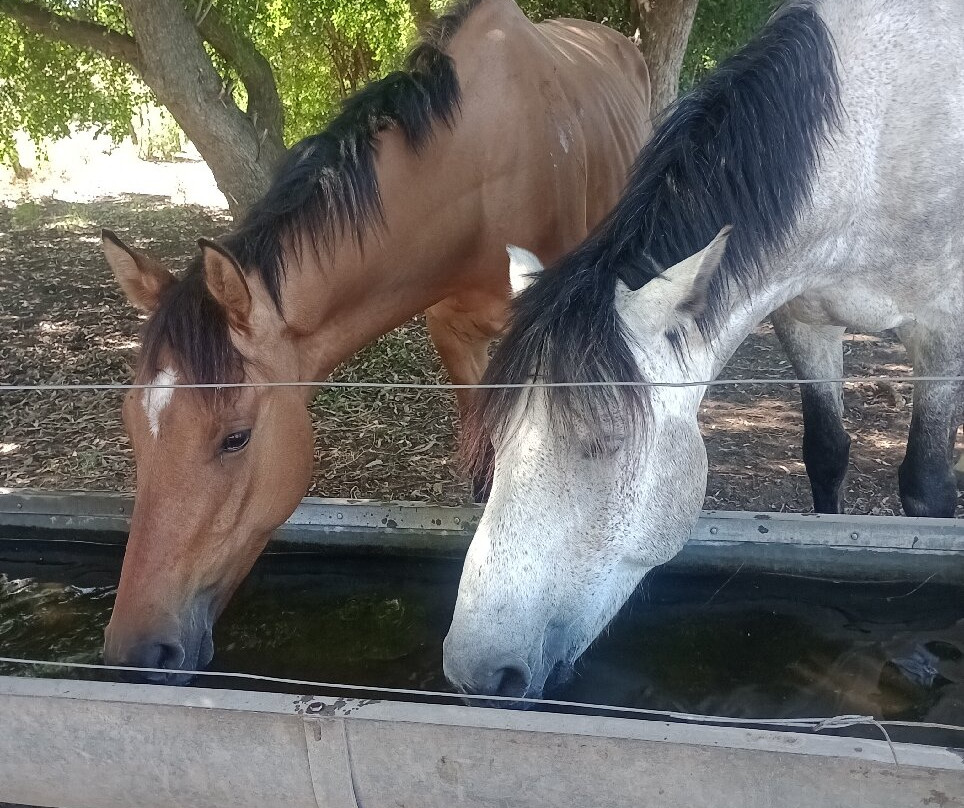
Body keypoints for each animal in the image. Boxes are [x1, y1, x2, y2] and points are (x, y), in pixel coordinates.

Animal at [444, 0, 964, 696]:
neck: (875, 143)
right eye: (495, 441)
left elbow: (926, 490)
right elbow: (826, 453)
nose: (477, 673)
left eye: (604, 444)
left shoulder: (943, 339)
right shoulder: (805, 323)